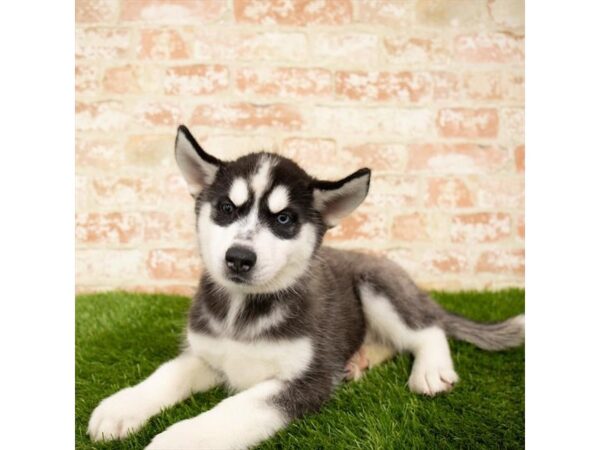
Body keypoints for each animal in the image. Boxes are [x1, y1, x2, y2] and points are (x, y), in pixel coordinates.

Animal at [86, 125, 524, 448]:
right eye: (226, 208)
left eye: (284, 220)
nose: (239, 258)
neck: (243, 309)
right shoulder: (207, 355)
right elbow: (166, 374)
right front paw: (122, 406)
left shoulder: (304, 382)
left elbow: (233, 410)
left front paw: (179, 439)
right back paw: (358, 361)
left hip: (378, 284)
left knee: (427, 330)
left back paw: (430, 370)